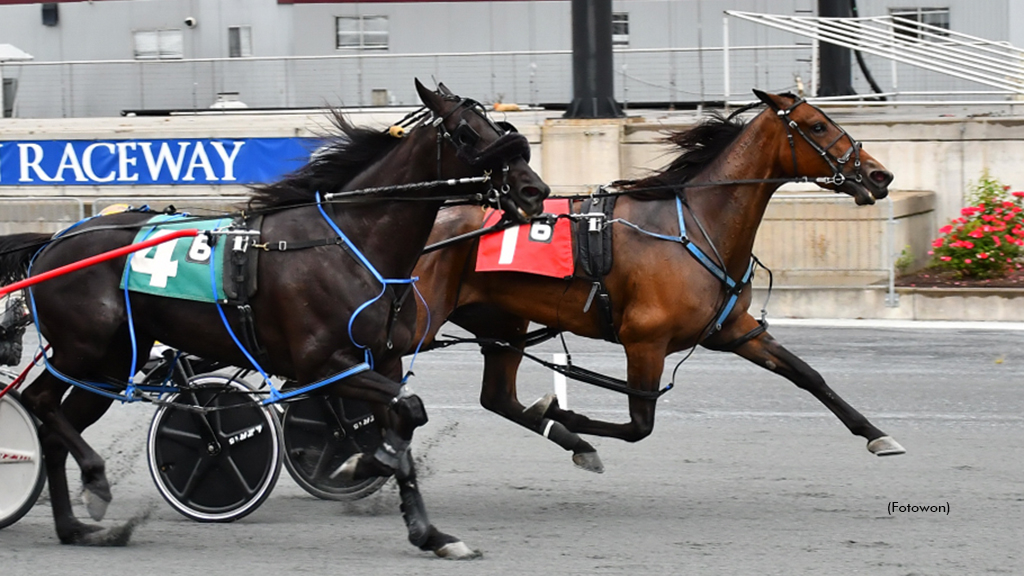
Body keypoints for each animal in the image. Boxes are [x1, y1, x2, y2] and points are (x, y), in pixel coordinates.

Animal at [0, 78, 548, 553]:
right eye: (467, 132)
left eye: (498, 124)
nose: (534, 191)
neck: (350, 242)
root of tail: (51, 242)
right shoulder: (326, 363)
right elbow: (405, 412)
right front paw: (359, 464)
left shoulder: (384, 360)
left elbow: (403, 418)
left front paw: (428, 532)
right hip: (81, 349)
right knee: (40, 402)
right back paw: (94, 479)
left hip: (110, 365)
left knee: (55, 426)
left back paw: (73, 525)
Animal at [407, 90, 905, 471]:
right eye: (817, 126)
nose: (879, 174)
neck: (697, 225)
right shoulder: (644, 339)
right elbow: (638, 425)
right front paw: (563, 410)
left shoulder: (733, 329)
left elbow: (807, 374)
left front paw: (876, 434)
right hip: (426, 319)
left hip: (501, 321)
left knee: (497, 398)